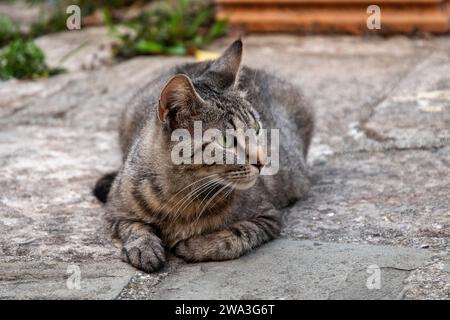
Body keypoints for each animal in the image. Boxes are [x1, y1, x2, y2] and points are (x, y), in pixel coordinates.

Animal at [93, 38, 314, 272]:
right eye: (226, 141)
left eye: (256, 128)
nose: (263, 162)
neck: (182, 193)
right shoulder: (115, 210)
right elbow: (134, 227)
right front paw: (144, 247)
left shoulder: (268, 216)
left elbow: (236, 236)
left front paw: (195, 245)